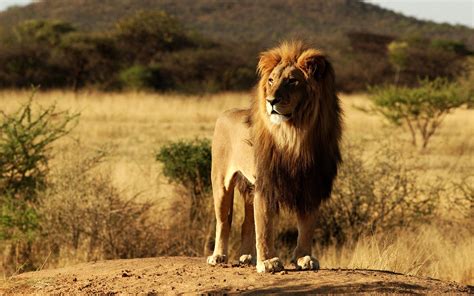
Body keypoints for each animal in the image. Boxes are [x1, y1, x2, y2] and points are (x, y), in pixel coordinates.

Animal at [206, 40, 340, 272]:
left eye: (292, 81)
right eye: (271, 80)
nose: (271, 101)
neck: (294, 135)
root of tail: (226, 112)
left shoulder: (311, 184)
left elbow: (307, 226)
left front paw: (304, 257)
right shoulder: (267, 183)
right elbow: (265, 225)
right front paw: (268, 261)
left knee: (246, 223)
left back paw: (247, 257)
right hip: (221, 182)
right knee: (224, 221)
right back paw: (218, 256)